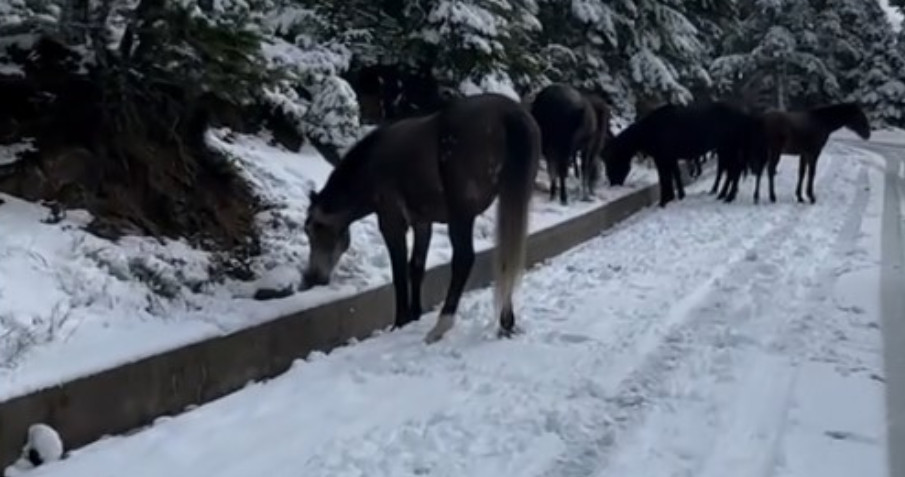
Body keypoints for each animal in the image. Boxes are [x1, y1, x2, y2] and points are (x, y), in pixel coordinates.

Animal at [300, 93, 540, 344]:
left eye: (314, 228)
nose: (312, 277)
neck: (371, 168)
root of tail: (509, 113)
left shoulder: (392, 223)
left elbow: (398, 272)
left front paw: (400, 322)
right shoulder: (422, 223)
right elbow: (416, 266)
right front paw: (414, 315)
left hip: (461, 213)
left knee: (464, 259)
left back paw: (441, 326)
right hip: (513, 198)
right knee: (508, 255)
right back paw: (506, 323)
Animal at [600, 101, 764, 205]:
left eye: (611, 161)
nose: (613, 183)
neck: (649, 131)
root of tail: (745, 114)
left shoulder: (662, 159)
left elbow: (665, 178)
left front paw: (664, 201)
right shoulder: (670, 158)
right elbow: (676, 176)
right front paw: (678, 196)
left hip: (730, 149)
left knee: (734, 172)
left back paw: (728, 196)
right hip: (727, 150)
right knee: (732, 173)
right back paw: (724, 195)